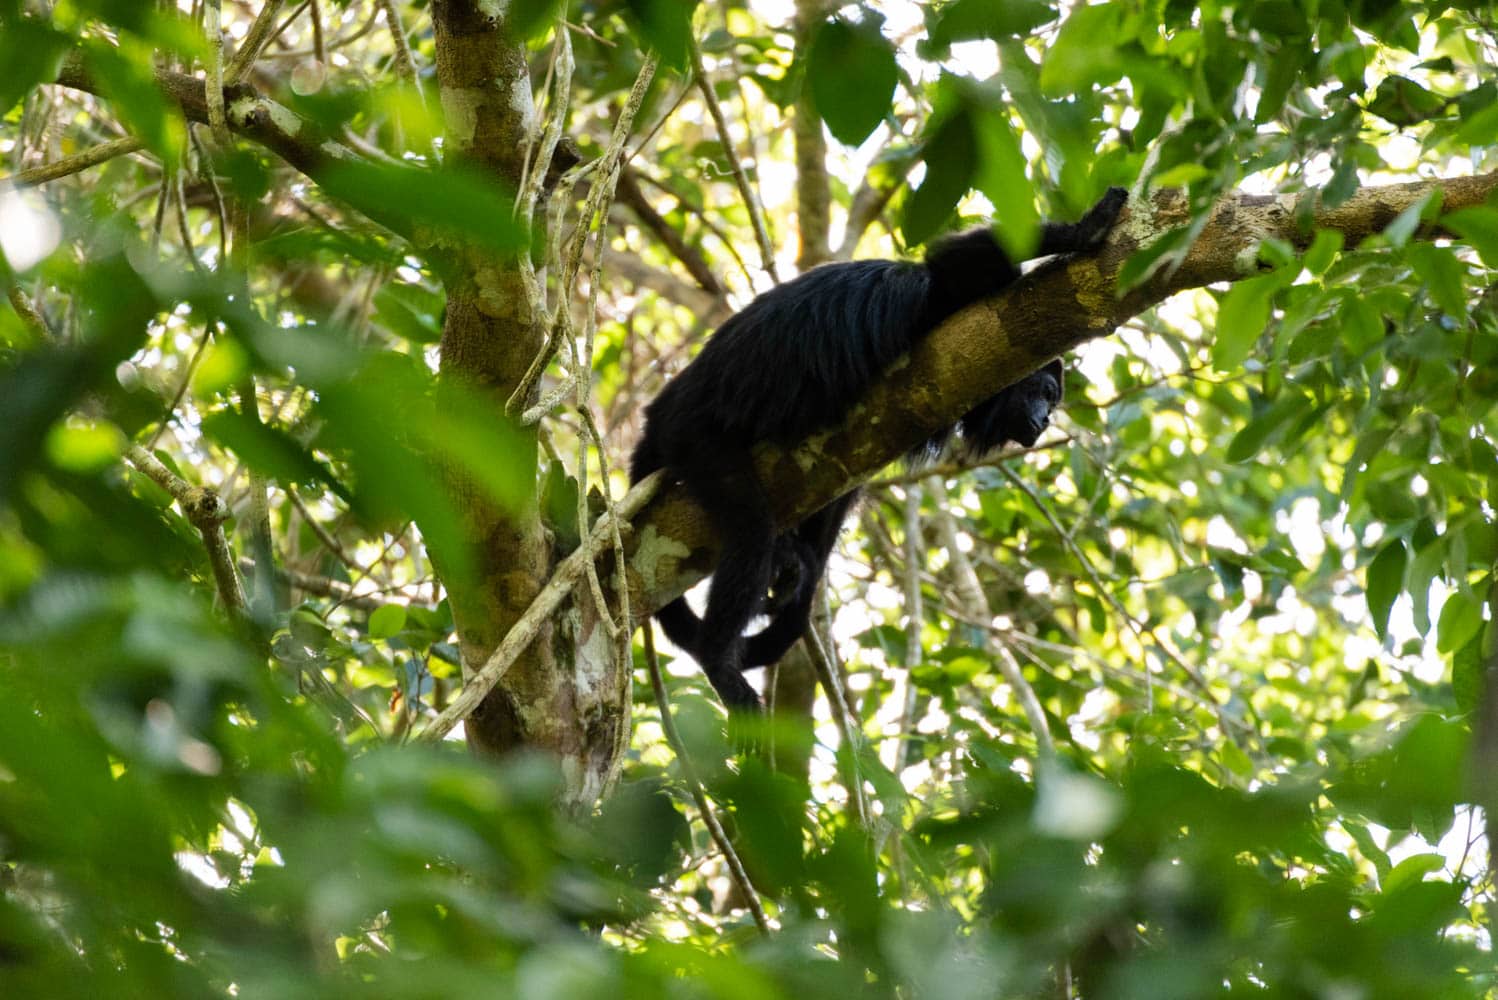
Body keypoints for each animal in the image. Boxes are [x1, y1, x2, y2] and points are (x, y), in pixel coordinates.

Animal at [626, 185, 1126, 709]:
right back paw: (719, 660)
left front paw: (801, 568)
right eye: (1046, 392)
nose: (1046, 420)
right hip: (694, 439)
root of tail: (660, 411)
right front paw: (1087, 228)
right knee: (750, 529)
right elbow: (958, 260)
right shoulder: (946, 298)